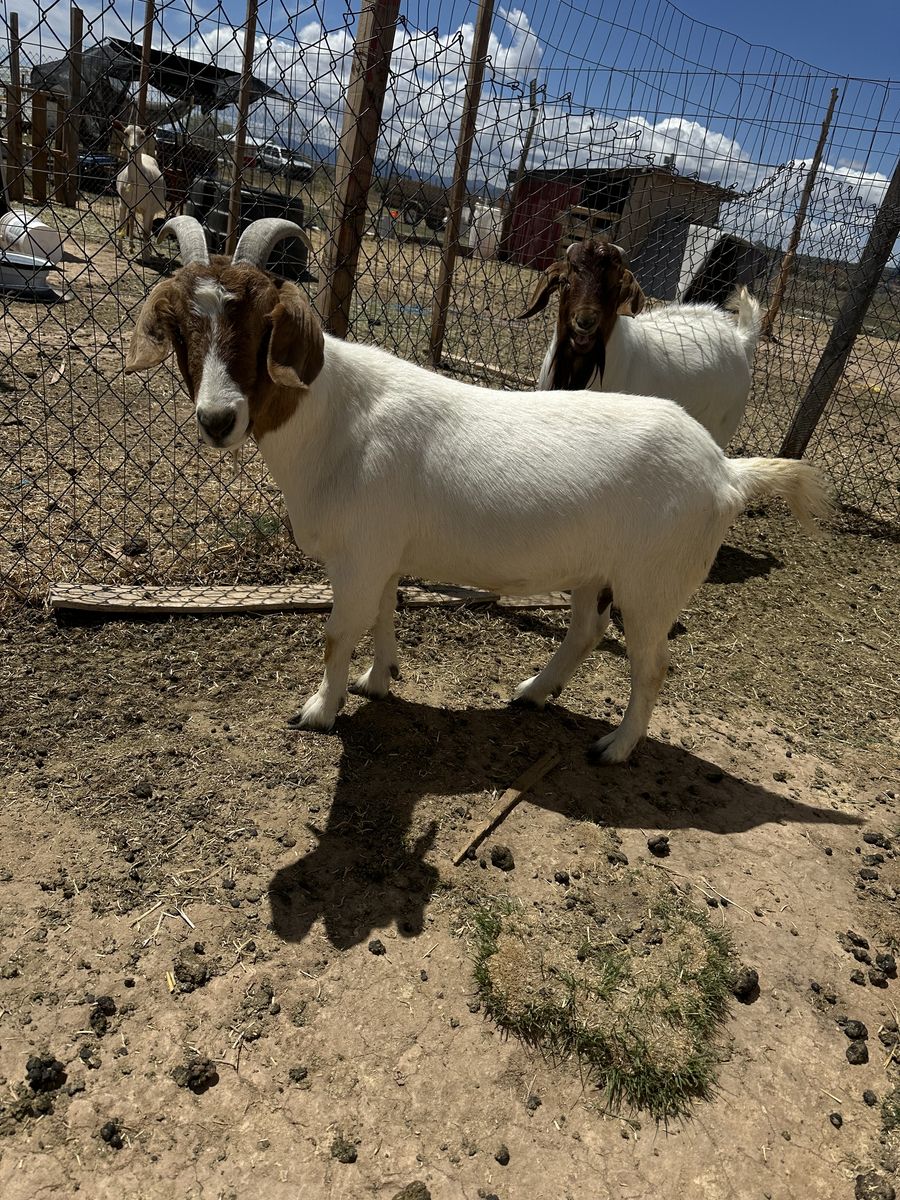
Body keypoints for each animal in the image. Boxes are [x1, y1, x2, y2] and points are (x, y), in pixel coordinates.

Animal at [113, 121, 166, 257]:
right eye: (126, 133)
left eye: (142, 135)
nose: (134, 147)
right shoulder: (123, 204)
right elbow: (121, 226)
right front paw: (119, 251)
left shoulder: (148, 207)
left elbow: (146, 232)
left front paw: (146, 256)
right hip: (133, 207)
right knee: (132, 222)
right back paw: (131, 246)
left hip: (152, 208)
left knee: (148, 227)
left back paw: (148, 250)